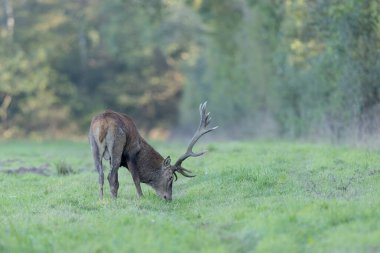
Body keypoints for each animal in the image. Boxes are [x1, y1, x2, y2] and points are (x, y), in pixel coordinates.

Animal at [88, 102, 217, 201]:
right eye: (170, 177)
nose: (168, 198)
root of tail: (103, 124)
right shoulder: (131, 152)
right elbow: (136, 177)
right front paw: (141, 197)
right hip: (116, 144)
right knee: (110, 176)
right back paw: (114, 199)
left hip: (93, 146)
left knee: (101, 175)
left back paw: (101, 199)